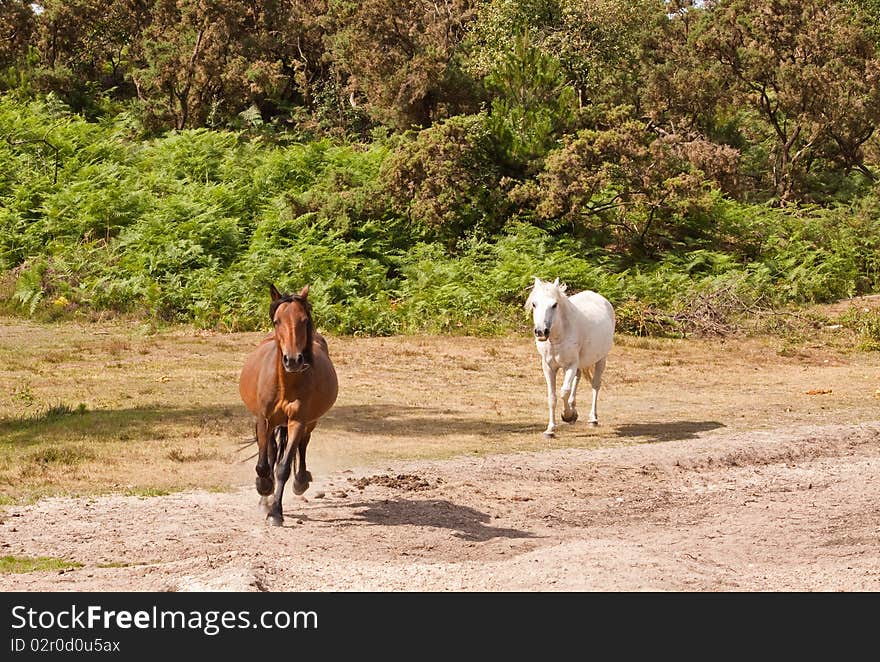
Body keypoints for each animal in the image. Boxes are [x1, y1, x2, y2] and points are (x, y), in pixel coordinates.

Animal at [239, 286, 338, 528]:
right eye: (277, 321)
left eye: (304, 320)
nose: (292, 360)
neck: (286, 385)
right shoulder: (264, 420)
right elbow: (264, 464)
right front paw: (264, 487)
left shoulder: (298, 422)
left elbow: (283, 467)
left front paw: (276, 512)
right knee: (272, 452)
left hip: (310, 422)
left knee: (302, 446)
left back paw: (300, 481)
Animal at [524, 278, 616, 438]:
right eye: (534, 304)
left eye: (554, 305)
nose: (541, 332)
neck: (559, 336)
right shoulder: (548, 367)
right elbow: (552, 396)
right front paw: (550, 429)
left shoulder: (570, 365)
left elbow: (564, 392)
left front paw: (566, 415)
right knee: (577, 379)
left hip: (601, 359)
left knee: (595, 385)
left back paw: (593, 419)